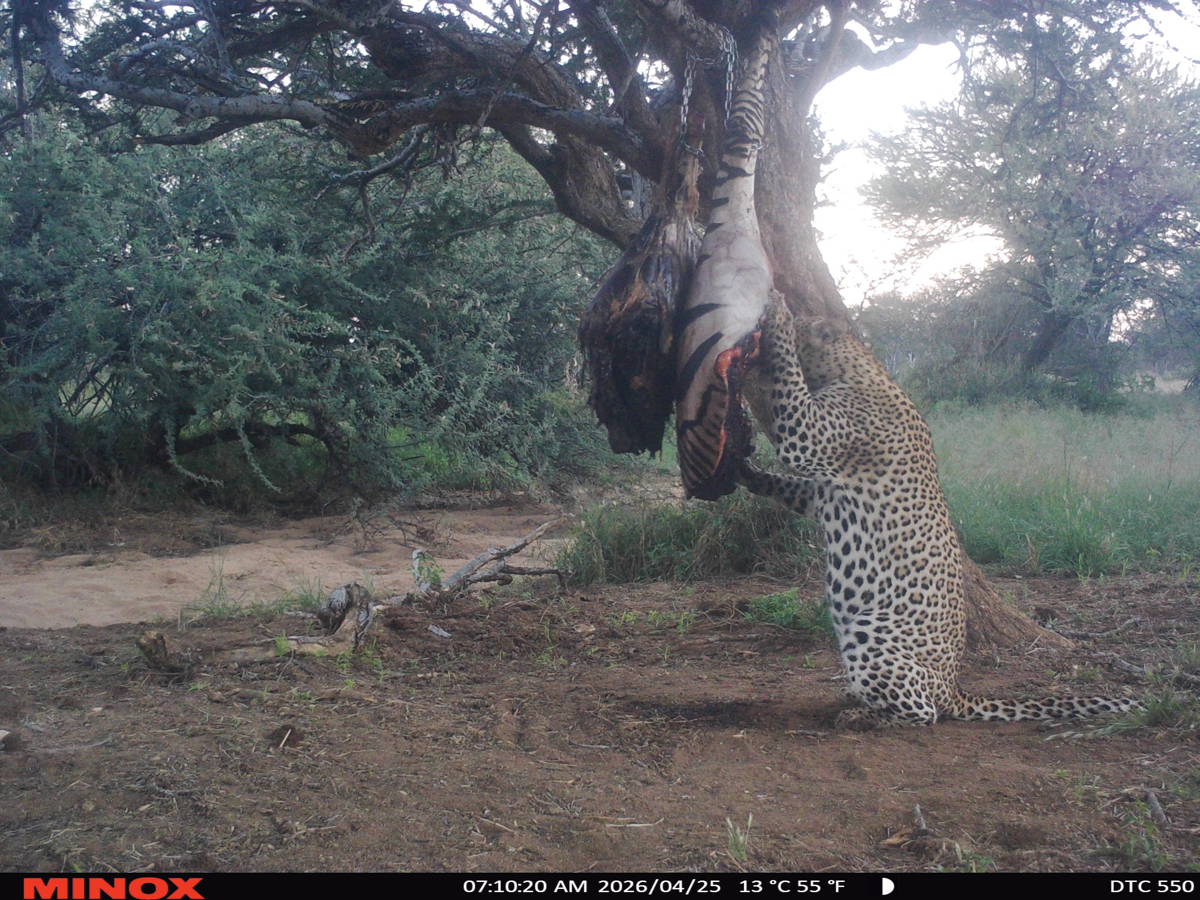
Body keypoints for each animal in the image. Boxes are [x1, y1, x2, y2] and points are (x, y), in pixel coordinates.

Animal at [739, 296, 1140, 729]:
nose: (753, 333)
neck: (854, 365)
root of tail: (954, 689)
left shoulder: (809, 435)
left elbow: (789, 384)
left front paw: (778, 316)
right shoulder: (819, 493)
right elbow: (784, 485)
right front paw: (743, 470)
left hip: (870, 636)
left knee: (923, 712)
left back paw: (862, 716)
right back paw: (854, 702)